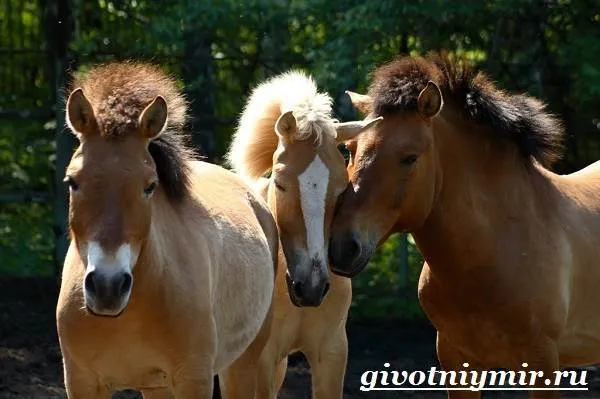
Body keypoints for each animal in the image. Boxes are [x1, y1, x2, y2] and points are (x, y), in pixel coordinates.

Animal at [55, 61, 278, 398]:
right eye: (72, 182)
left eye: (150, 186)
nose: (108, 287)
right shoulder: (82, 383)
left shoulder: (194, 379)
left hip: (243, 363)